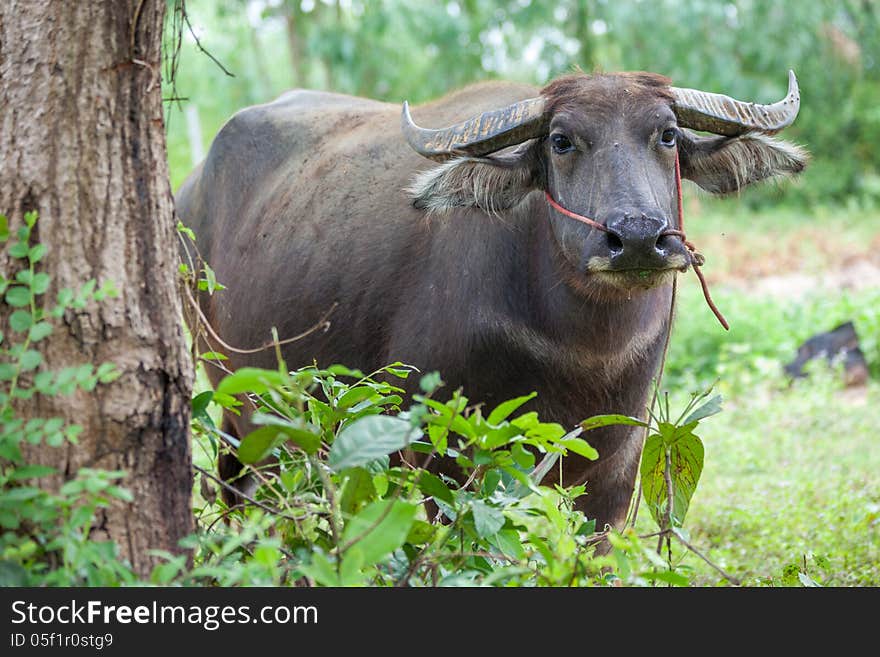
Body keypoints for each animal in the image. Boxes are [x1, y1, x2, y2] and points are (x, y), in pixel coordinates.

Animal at [177, 70, 804, 532]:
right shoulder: (441, 455)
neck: (580, 349)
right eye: (561, 140)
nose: (637, 237)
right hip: (241, 401)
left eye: (668, 134)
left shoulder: (617, 462)